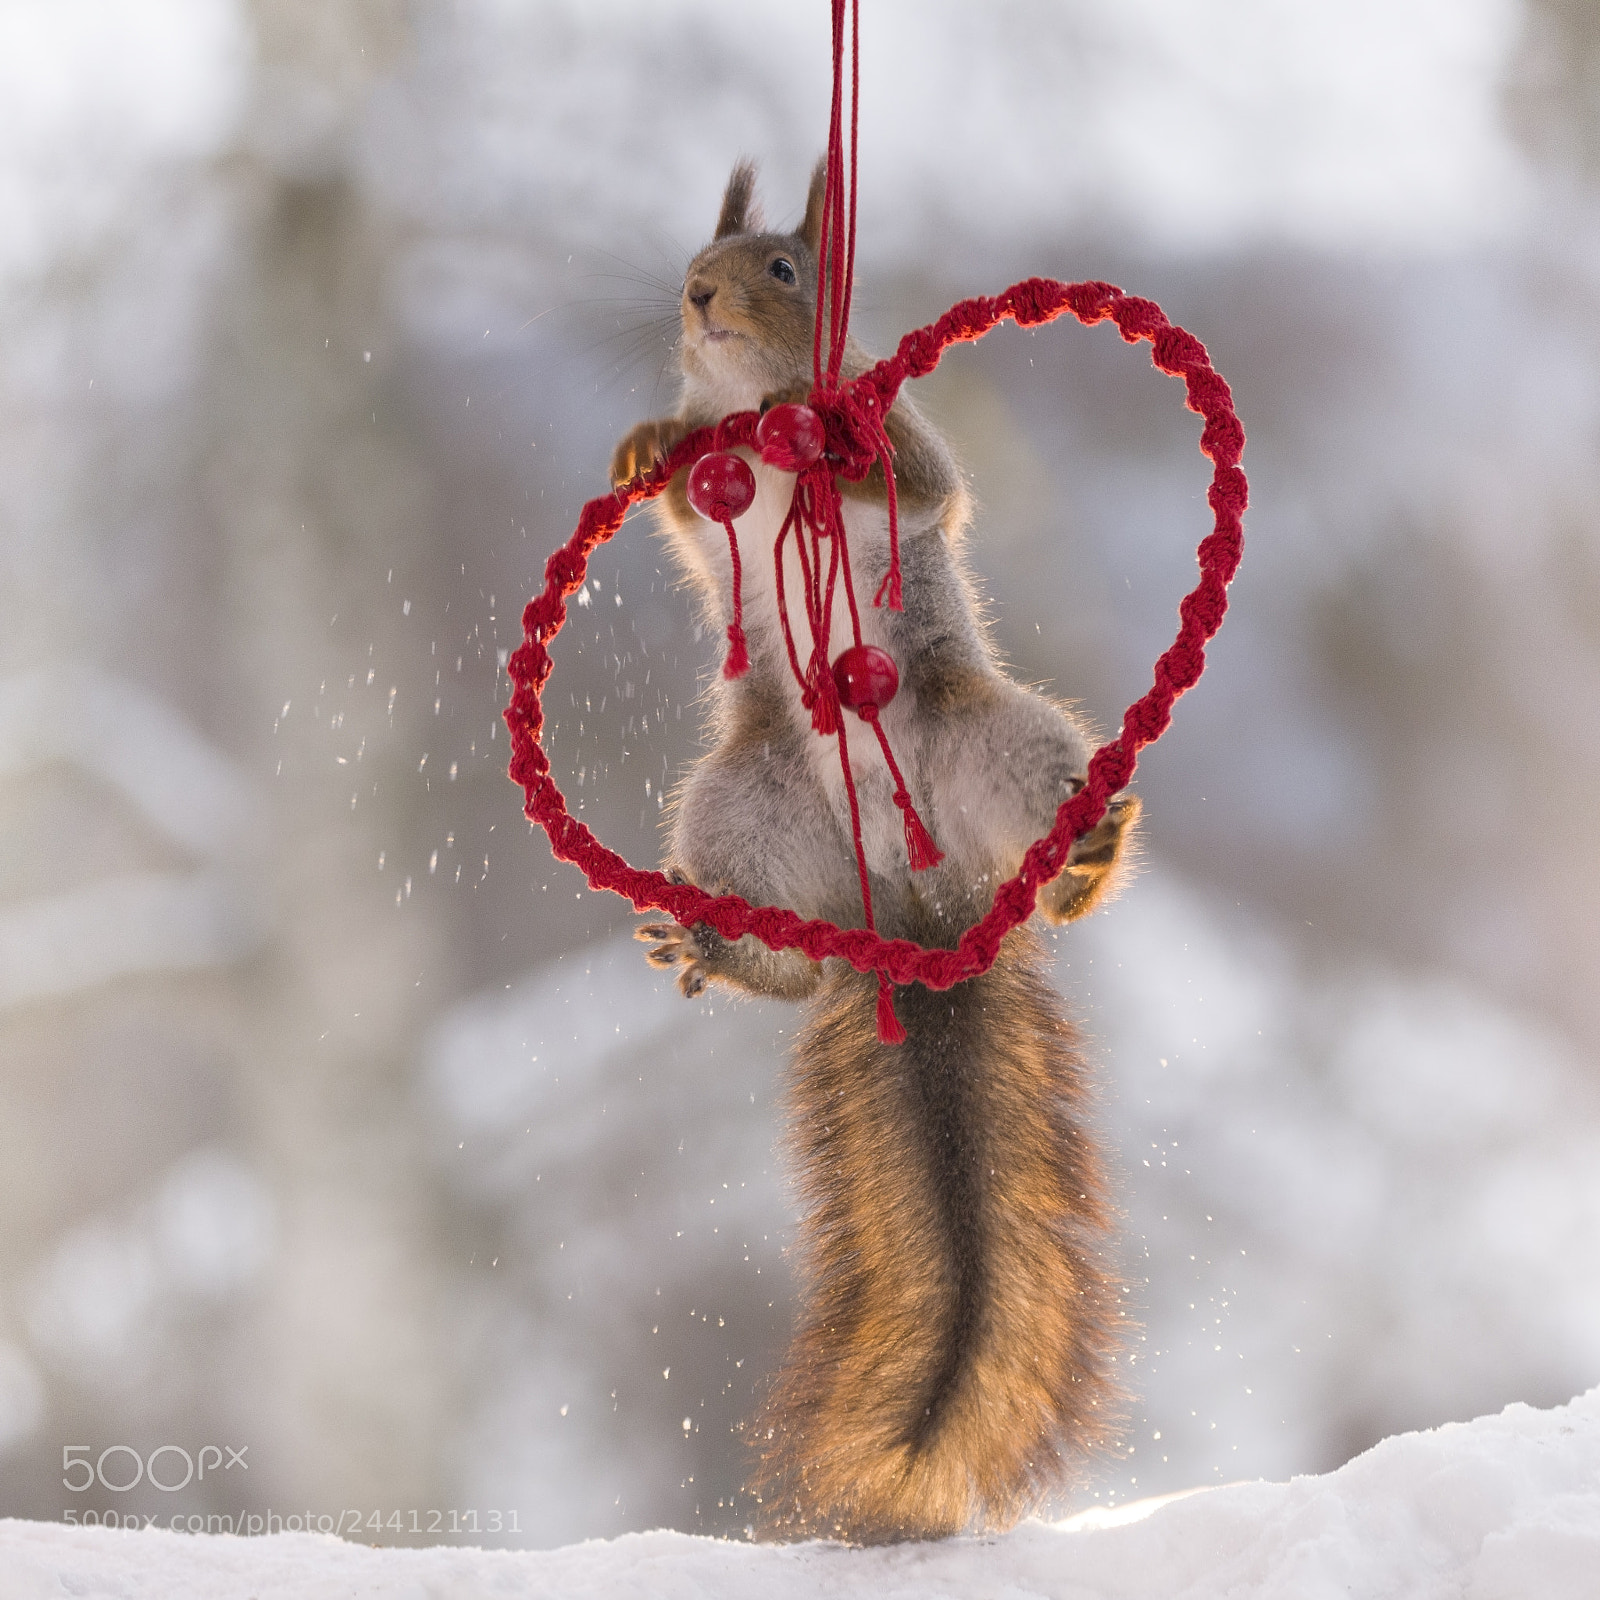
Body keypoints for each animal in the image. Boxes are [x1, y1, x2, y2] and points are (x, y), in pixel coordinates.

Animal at [613, 159, 1140, 1543]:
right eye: (691, 260)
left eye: (784, 268)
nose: (698, 299)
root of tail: (909, 912)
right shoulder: (717, 525)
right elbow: (690, 508)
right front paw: (651, 442)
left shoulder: (907, 442)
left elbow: (918, 474)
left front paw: (816, 423)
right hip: (738, 806)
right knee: (784, 964)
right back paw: (721, 946)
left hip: (999, 743)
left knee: (1052, 842)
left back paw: (1084, 856)